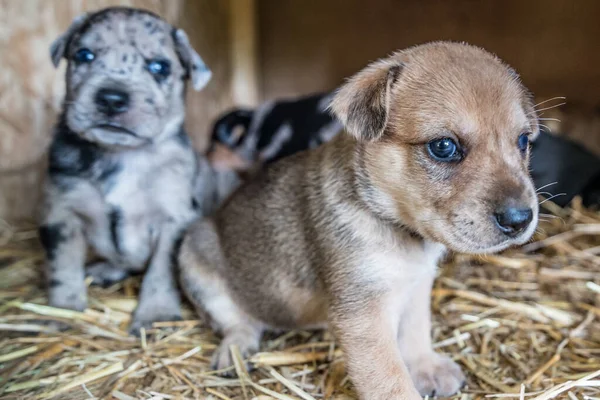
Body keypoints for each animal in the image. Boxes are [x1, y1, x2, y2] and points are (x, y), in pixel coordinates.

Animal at [39, 7, 214, 334]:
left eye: (159, 66)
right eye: (84, 55)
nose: (111, 98)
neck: (121, 154)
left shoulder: (173, 220)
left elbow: (161, 272)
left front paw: (156, 315)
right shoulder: (62, 214)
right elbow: (63, 265)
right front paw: (63, 310)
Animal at [178, 42, 540, 398]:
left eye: (523, 141)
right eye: (443, 146)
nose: (520, 219)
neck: (396, 225)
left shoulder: (417, 286)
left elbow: (416, 331)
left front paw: (427, 368)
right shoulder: (363, 314)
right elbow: (389, 380)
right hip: (196, 256)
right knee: (238, 321)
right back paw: (235, 351)